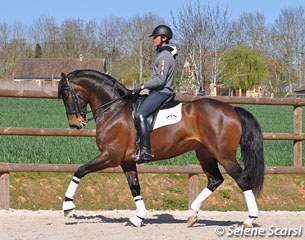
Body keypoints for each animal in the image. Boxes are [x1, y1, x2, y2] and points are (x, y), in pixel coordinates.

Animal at [57, 69, 264, 227]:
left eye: (66, 94)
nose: (74, 124)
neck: (114, 109)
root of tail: (232, 109)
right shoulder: (126, 161)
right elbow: (135, 187)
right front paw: (138, 218)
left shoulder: (110, 156)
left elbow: (80, 170)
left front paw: (68, 206)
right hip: (205, 154)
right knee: (215, 179)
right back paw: (192, 214)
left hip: (224, 155)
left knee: (242, 180)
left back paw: (249, 219)